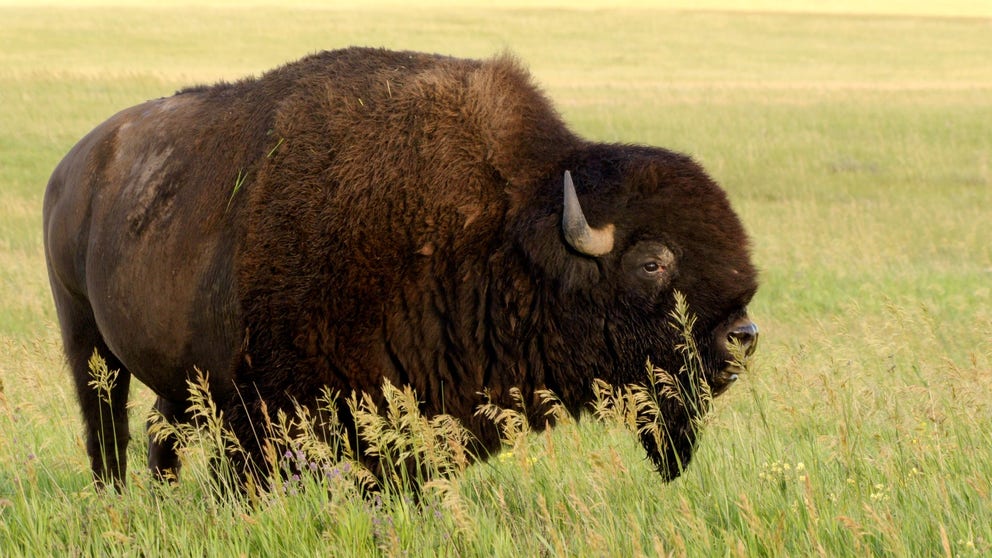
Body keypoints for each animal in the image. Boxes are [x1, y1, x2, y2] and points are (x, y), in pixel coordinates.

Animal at [42, 48, 760, 490]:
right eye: (652, 261)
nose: (742, 337)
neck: (497, 228)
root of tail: (73, 166)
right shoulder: (272, 406)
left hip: (174, 373)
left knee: (161, 432)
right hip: (88, 344)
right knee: (107, 431)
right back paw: (117, 499)